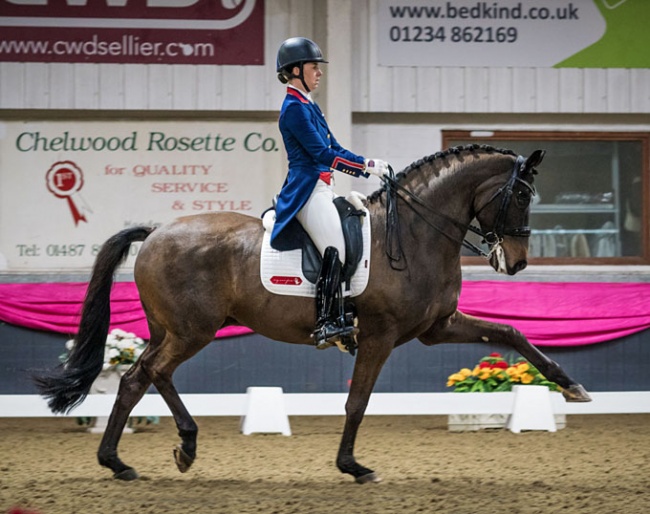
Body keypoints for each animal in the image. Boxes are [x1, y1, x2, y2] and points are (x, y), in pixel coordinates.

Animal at [35, 145, 592, 484]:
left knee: (138, 378)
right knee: (149, 373)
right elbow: (357, 402)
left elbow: (510, 331)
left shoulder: (436, 328)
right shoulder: (380, 336)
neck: (415, 233)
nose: (515, 263)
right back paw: (167, 450)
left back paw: (127, 460)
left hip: (170, 329)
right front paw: (353, 466)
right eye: (521, 195)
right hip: (192, 331)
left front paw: (570, 386)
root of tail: (154, 232)